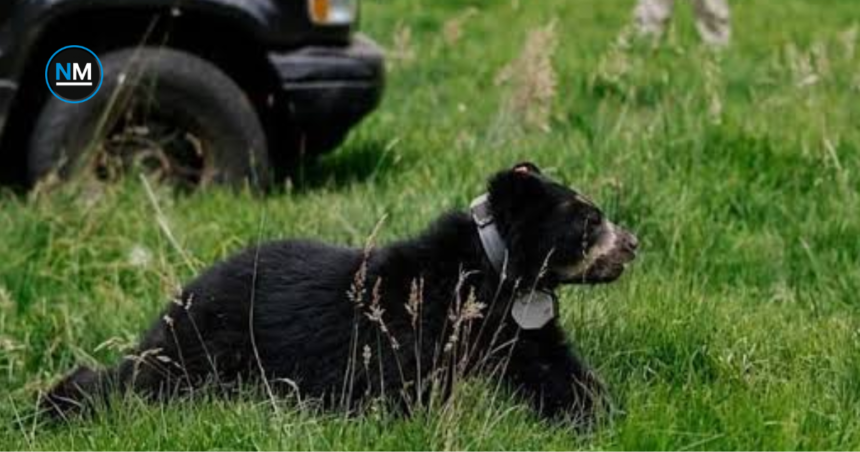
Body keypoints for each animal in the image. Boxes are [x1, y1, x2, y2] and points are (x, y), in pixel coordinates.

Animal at [40, 162, 638, 424]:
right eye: (589, 221)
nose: (632, 244)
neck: (495, 276)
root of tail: (183, 292)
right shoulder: (408, 322)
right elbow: (398, 385)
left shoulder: (513, 324)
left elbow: (552, 368)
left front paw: (599, 413)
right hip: (208, 349)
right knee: (142, 381)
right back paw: (60, 400)